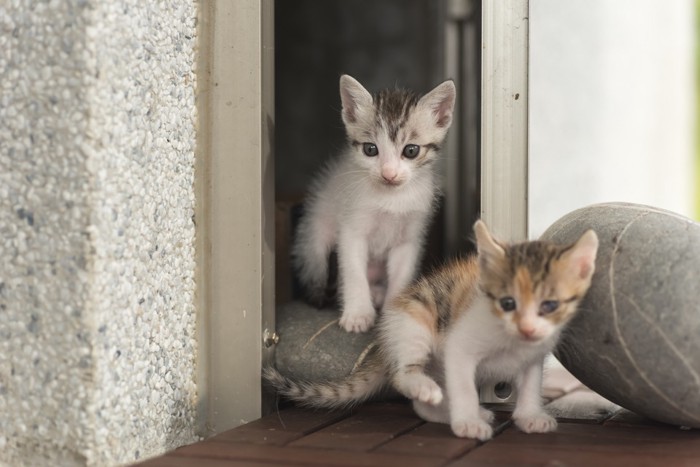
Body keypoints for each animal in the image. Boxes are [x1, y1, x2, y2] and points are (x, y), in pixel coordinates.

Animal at [266, 221, 600, 440]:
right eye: (508, 303)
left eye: (550, 305)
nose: (527, 328)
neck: (511, 341)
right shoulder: (459, 347)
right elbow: (463, 386)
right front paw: (467, 424)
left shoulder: (534, 354)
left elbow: (531, 384)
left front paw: (530, 417)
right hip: (415, 320)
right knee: (404, 376)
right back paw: (428, 390)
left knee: (423, 406)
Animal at [292, 75, 456, 334]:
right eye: (371, 149)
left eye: (411, 150)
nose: (389, 174)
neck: (391, 198)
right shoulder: (351, 229)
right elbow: (353, 271)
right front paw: (358, 314)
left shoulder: (410, 238)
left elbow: (402, 274)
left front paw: (394, 313)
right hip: (314, 239)